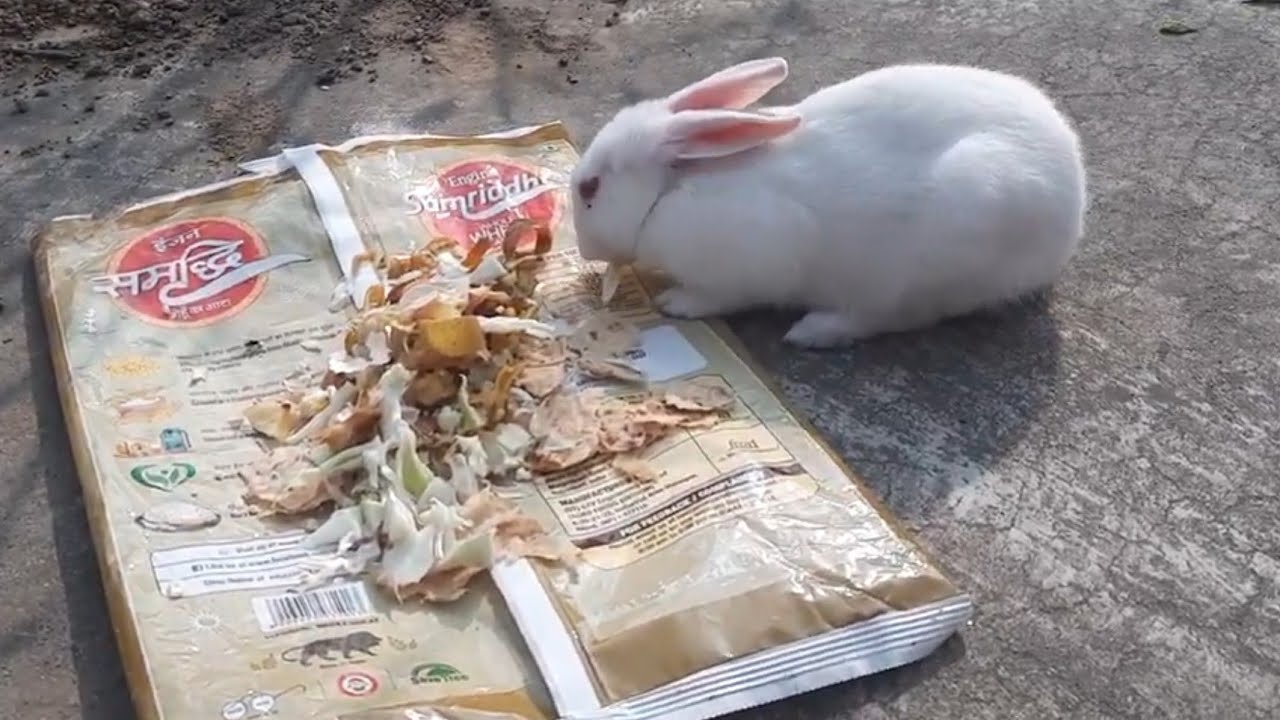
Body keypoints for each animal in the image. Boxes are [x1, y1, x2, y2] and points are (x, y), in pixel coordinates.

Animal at [569, 57, 1087, 348]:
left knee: (892, 316)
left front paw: (676, 303)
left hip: (931, 257)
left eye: (590, 189)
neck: (669, 192)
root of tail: (1074, 201)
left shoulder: (753, 264)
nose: (585, 252)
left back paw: (813, 332)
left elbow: (719, 295)